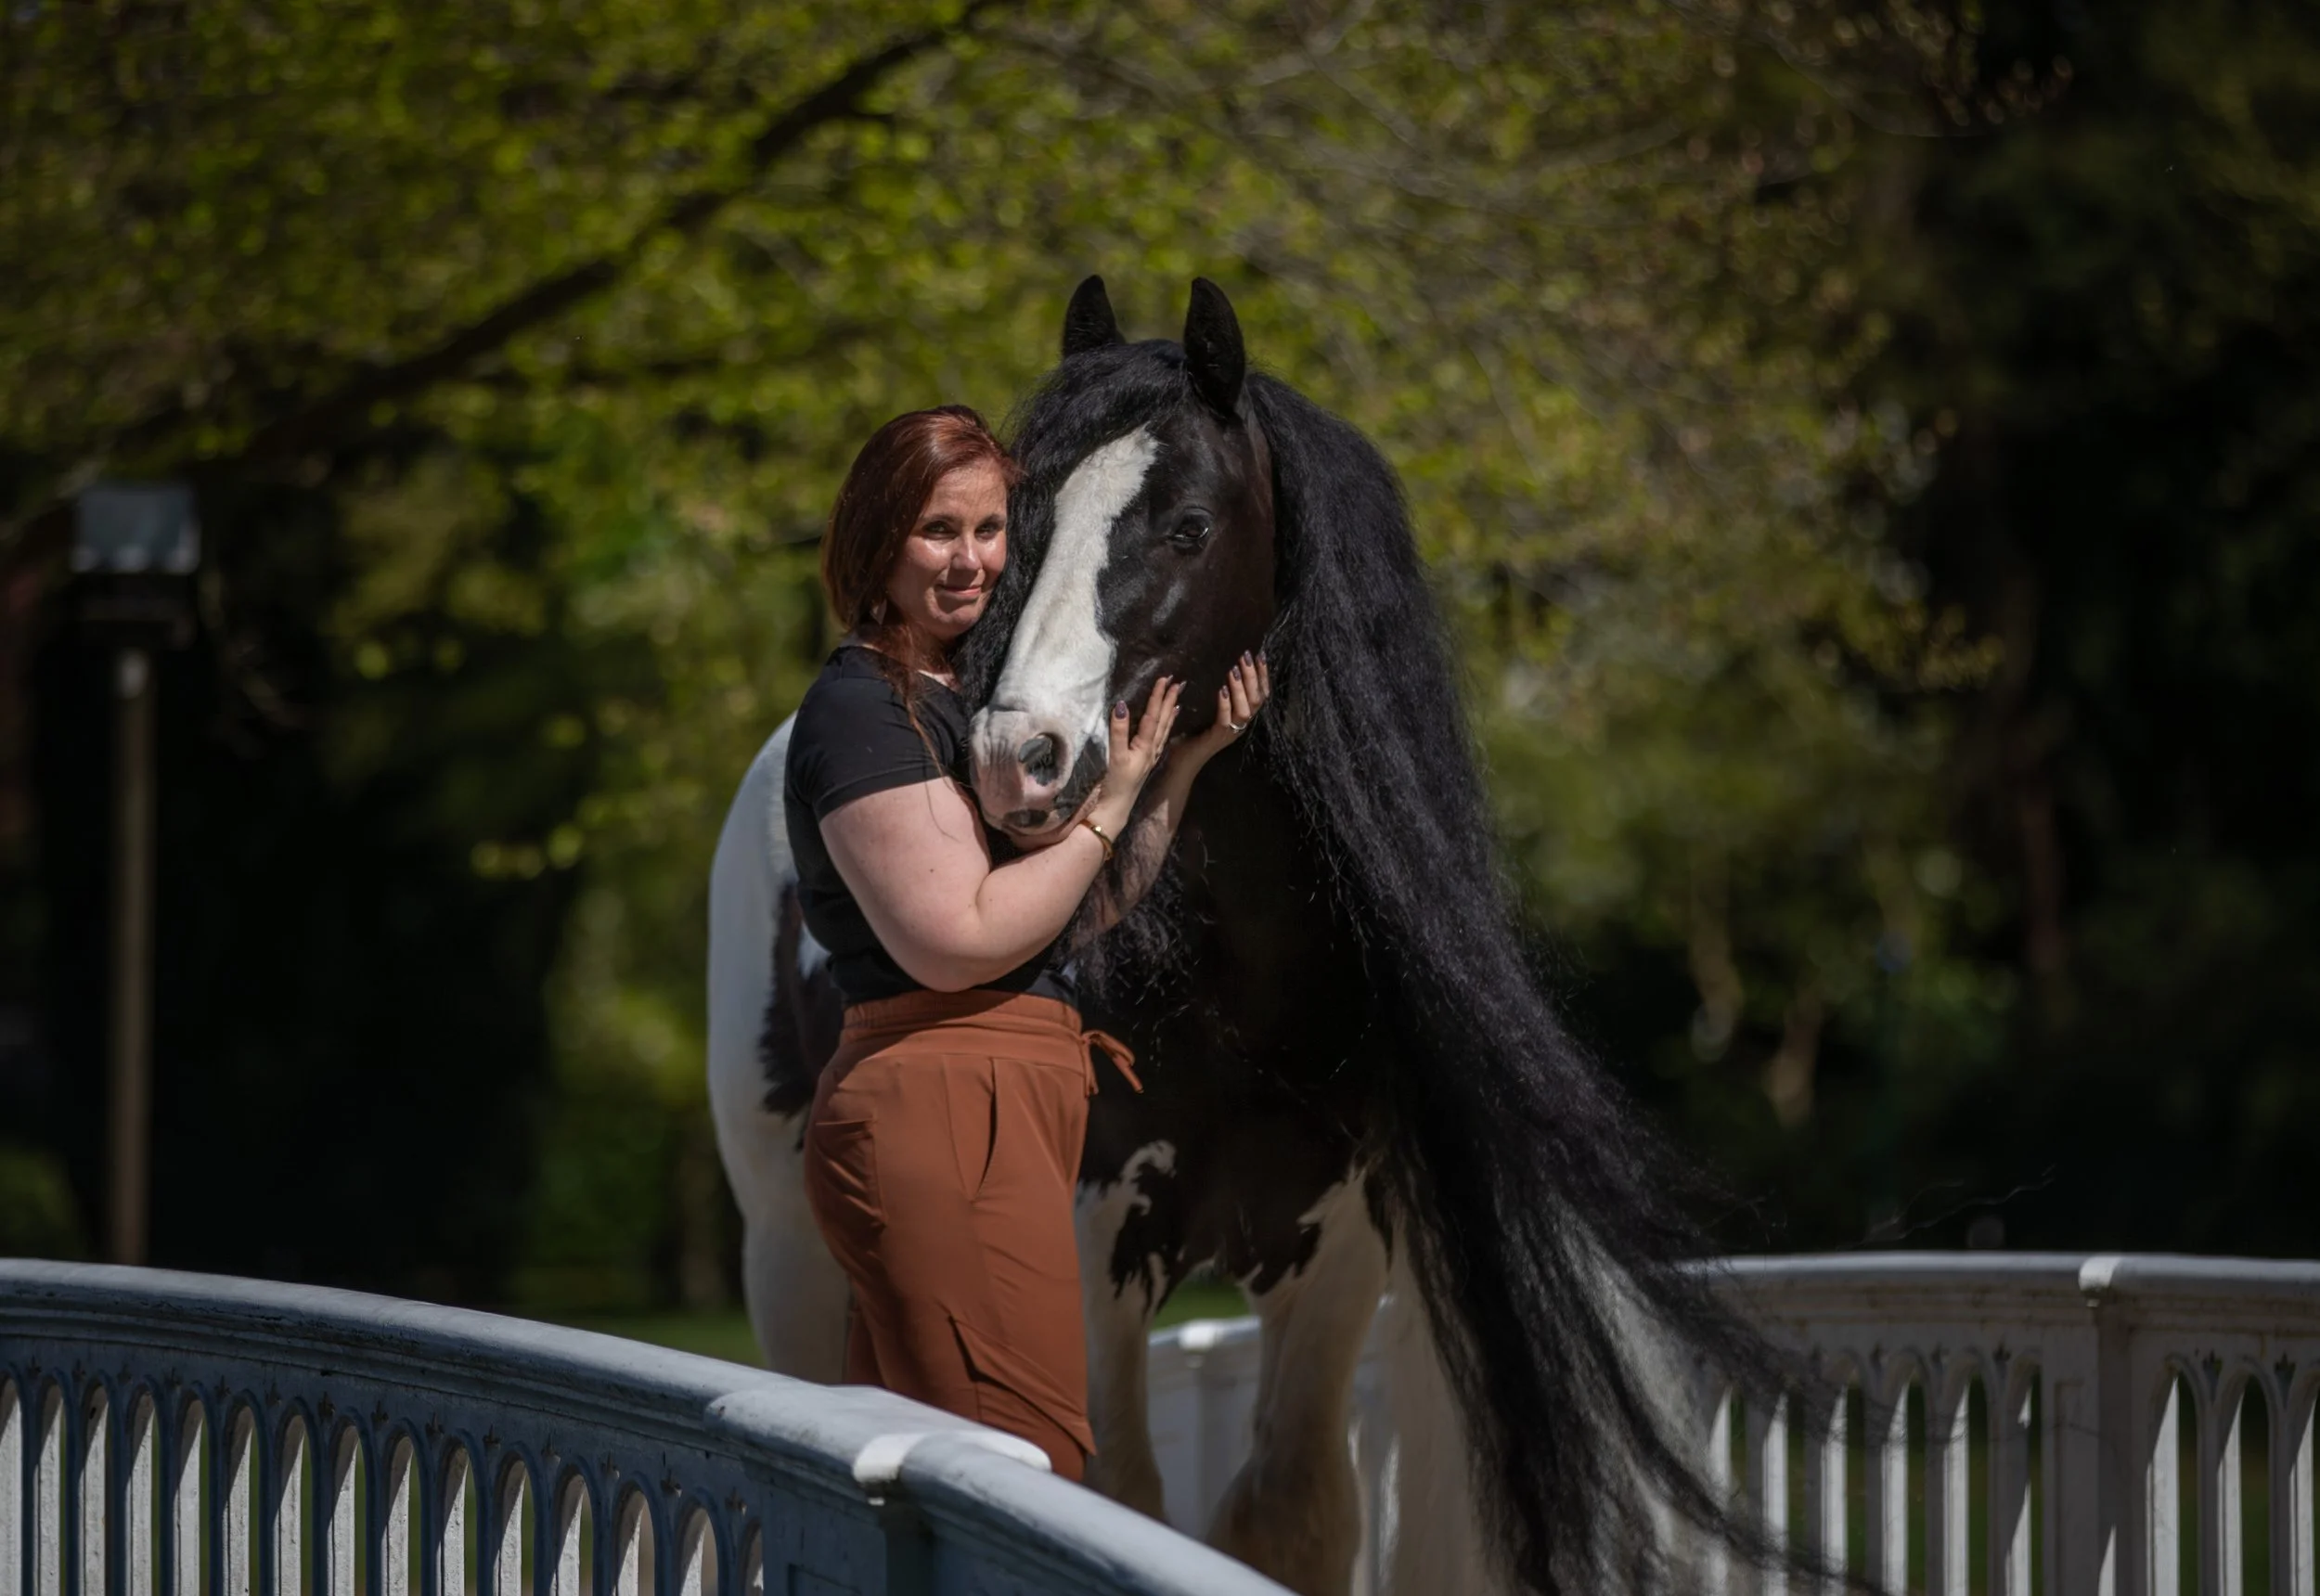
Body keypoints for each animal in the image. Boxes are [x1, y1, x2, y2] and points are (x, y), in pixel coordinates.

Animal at [708, 278, 1793, 1595]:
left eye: (1184, 526)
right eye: (1017, 526)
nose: (1018, 762)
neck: (1243, 979)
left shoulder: (1337, 1252)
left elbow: (1289, 1514)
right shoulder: (1091, 1239)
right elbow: (1122, 1492)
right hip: (786, 1244)